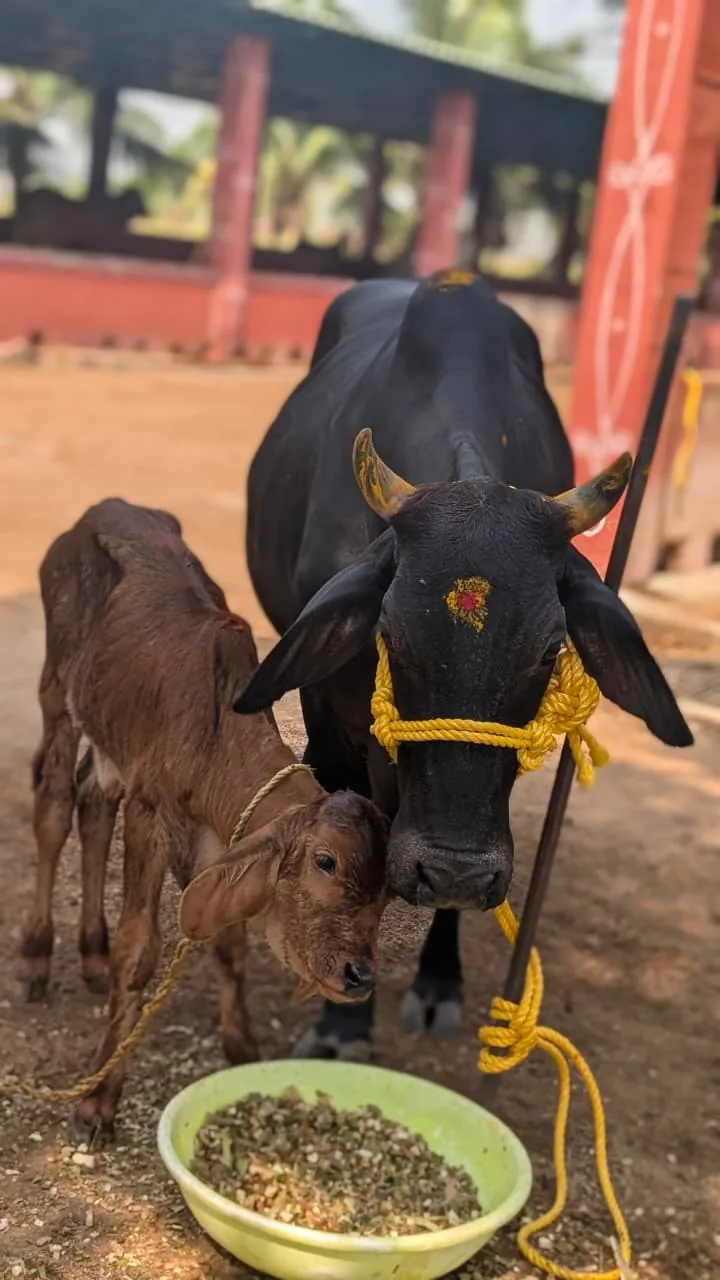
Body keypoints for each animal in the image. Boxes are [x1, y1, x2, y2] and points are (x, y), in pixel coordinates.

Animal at [235, 271, 693, 1061]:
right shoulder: (330, 724)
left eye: (550, 647)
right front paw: (341, 1024)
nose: (450, 870)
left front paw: (438, 979)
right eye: (389, 634)